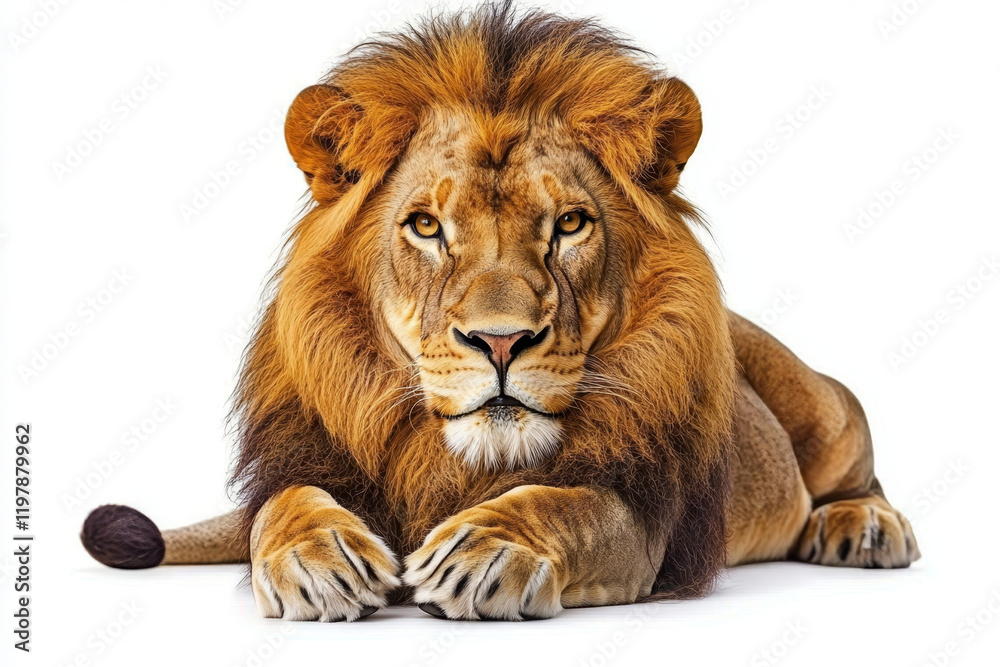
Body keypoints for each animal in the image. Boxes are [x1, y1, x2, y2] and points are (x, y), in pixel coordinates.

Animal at [80, 2, 920, 622]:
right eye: (425, 226)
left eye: (570, 224)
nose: (502, 341)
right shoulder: (307, 458)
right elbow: (282, 507)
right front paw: (317, 556)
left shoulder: (647, 518)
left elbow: (573, 505)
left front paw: (486, 549)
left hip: (824, 412)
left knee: (857, 462)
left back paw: (865, 525)